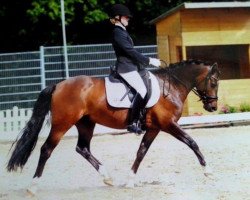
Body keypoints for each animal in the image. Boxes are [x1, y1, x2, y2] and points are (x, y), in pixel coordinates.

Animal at [6, 59, 220, 192]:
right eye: (214, 82)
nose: (213, 107)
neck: (170, 86)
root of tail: (58, 85)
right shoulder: (168, 124)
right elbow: (192, 142)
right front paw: (208, 171)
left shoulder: (154, 128)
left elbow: (141, 152)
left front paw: (130, 181)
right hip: (62, 124)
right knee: (46, 149)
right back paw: (33, 187)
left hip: (86, 123)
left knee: (82, 148)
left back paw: (108, 177)